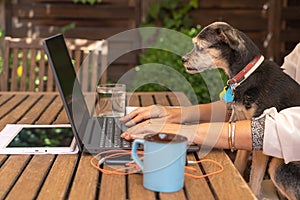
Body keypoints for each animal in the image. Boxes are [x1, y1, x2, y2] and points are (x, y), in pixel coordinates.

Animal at [180, 21, 300, 199]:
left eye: (200, 47)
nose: (183, 59)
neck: (246, 75)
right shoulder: (243, 127)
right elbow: (238, 166)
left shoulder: (260, 144)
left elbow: (254, 182)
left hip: (278, 166)